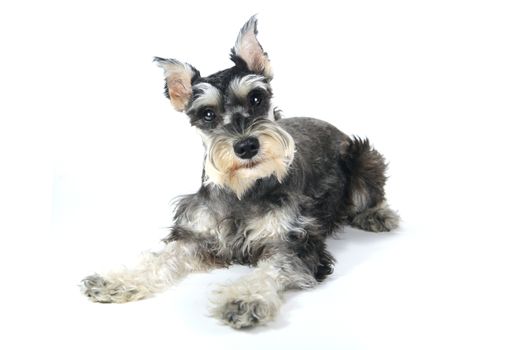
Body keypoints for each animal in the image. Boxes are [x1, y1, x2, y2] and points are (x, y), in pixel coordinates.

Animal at [80, 15, 400, 328]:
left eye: (256, 98)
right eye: (207, 114)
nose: (246, 146)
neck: (243, 189)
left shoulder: (295, 241)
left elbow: (274, 268)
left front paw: (245, 299)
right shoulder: (196, 236)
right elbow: (161, 258)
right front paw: (116, 281)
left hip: (364, 158)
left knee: (371, 195)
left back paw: (377, 215)